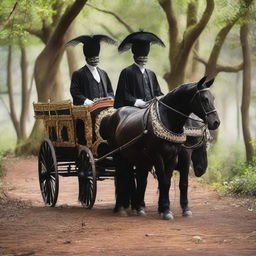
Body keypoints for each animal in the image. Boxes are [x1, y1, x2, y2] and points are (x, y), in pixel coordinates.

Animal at [107, 77, 219, 219]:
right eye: (204, 99)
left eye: (213, 98)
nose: (216, 122)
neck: (169, 121)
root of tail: (115, 114)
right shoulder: (159, 156)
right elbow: (164, 182)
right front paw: (166, 210)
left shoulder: (173, 157)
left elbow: (172, 182)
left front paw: (168, 208)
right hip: (118, 155)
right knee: (122, 176)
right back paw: (121, 207)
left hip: (135, 157)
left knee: (137, 179)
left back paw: (137, 207)